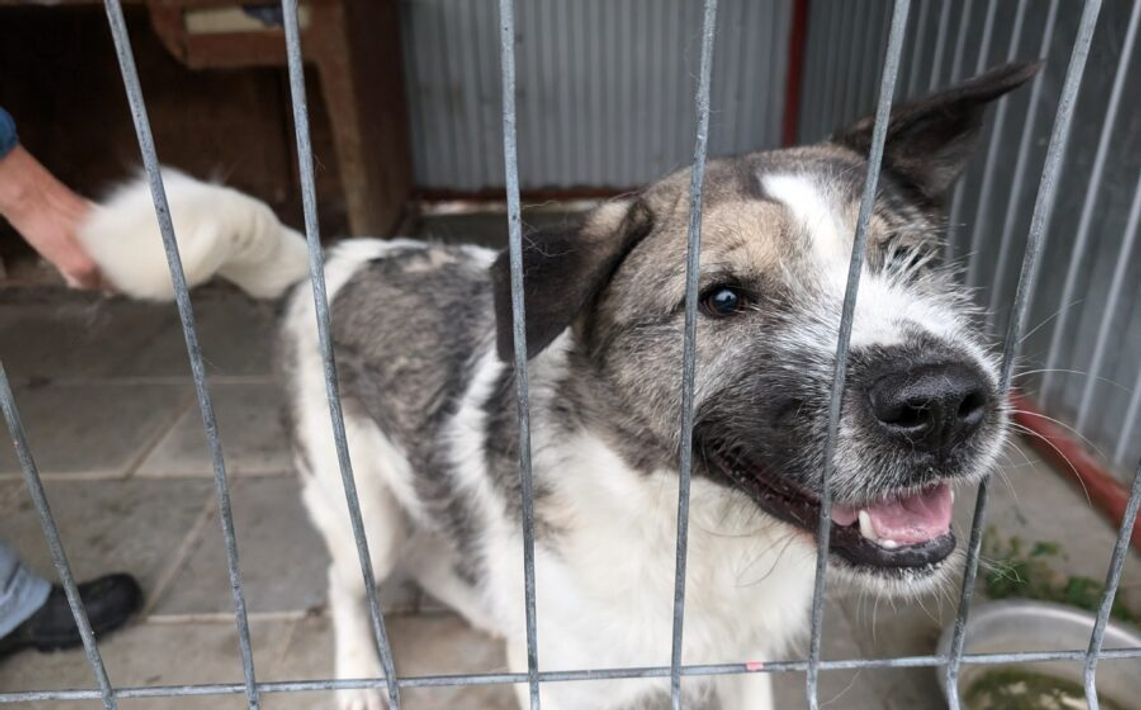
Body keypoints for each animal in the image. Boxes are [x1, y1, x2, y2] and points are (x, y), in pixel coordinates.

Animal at [77, 61, 1037, 709]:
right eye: (722, 298)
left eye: (908, 260)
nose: (944, 404)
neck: (697, 533)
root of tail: (334, 255)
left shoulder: (741, 665)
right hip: (355, 504)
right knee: (350, 583)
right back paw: (360, 673)